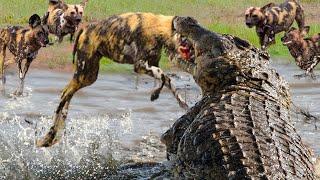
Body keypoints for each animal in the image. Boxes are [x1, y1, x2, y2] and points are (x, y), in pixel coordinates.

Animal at [36, 12, 189, 148]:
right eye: (185, 38)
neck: (158, 27)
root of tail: (85, 28)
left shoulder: (153, 65)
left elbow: (167, 82)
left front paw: (179, 102)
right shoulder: (140, 66)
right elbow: (164, 76)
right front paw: (159, 94)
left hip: (89, 76)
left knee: (68, 95)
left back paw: (55, 134)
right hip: (84, 75)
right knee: (64, 96)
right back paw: (50, 136)